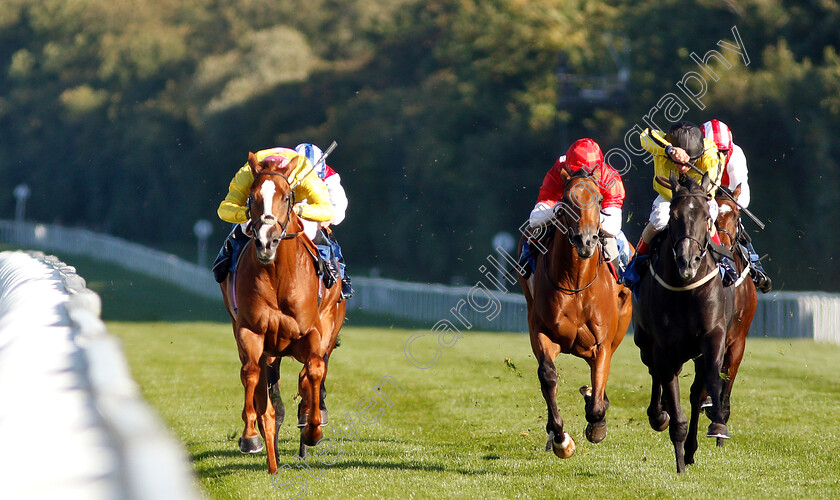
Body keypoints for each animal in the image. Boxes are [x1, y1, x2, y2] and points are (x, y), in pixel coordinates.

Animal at [221, 152, 346, 472]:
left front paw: (313, 430)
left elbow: (314, 372)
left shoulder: (313, 331)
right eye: (251, 198)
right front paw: (250, 437)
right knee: (268, 392)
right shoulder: (250, 331)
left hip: (329, 327)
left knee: (313, 372)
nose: (266, 242)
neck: (278, 274)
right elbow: (252, 375)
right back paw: (272, 456)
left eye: (288, 197)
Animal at [516, 170, 632, 458]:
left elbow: (598, 394)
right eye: (567, 199)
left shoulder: (602, 343)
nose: (586, 240)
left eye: (600, 199)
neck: (576, 283)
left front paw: (597, 424)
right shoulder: (543, 332)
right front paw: (560, 439)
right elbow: (548, 376)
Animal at [636, 173, 736, 472]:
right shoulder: (663, 347)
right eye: (674, 215)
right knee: (655, 373)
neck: (685, 289)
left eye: (705, 216)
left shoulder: (713, 337)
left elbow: (711, 381)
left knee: (694, 393)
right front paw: (679, 464)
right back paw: (659, 415)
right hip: (645, 343)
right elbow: (671, 396)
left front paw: (718, 423)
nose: (687, 261)